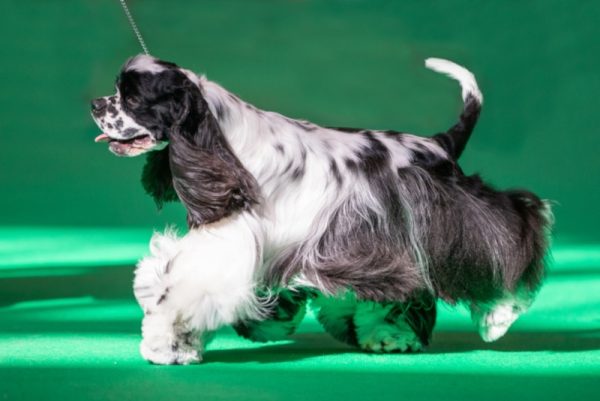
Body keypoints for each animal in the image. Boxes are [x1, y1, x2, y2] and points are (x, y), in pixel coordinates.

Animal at [90, 54, 552, 364]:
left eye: (132, 97)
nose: (95, 104)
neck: (223, 142)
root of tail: (438, 144)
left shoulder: (230, 241)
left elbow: (181, 292)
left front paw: (164, 344)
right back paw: (389, 335)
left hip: (448, 218)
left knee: (518, 222)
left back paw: (499, 314)